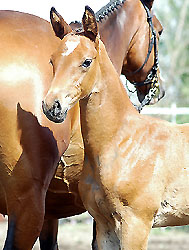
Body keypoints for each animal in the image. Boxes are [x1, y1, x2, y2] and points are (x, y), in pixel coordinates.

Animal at [42, 6, 189, 250]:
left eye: (86, 61)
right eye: (53, 61)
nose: (52, 106)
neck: (123, 142)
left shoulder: (136, 224)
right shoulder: (104, 226)